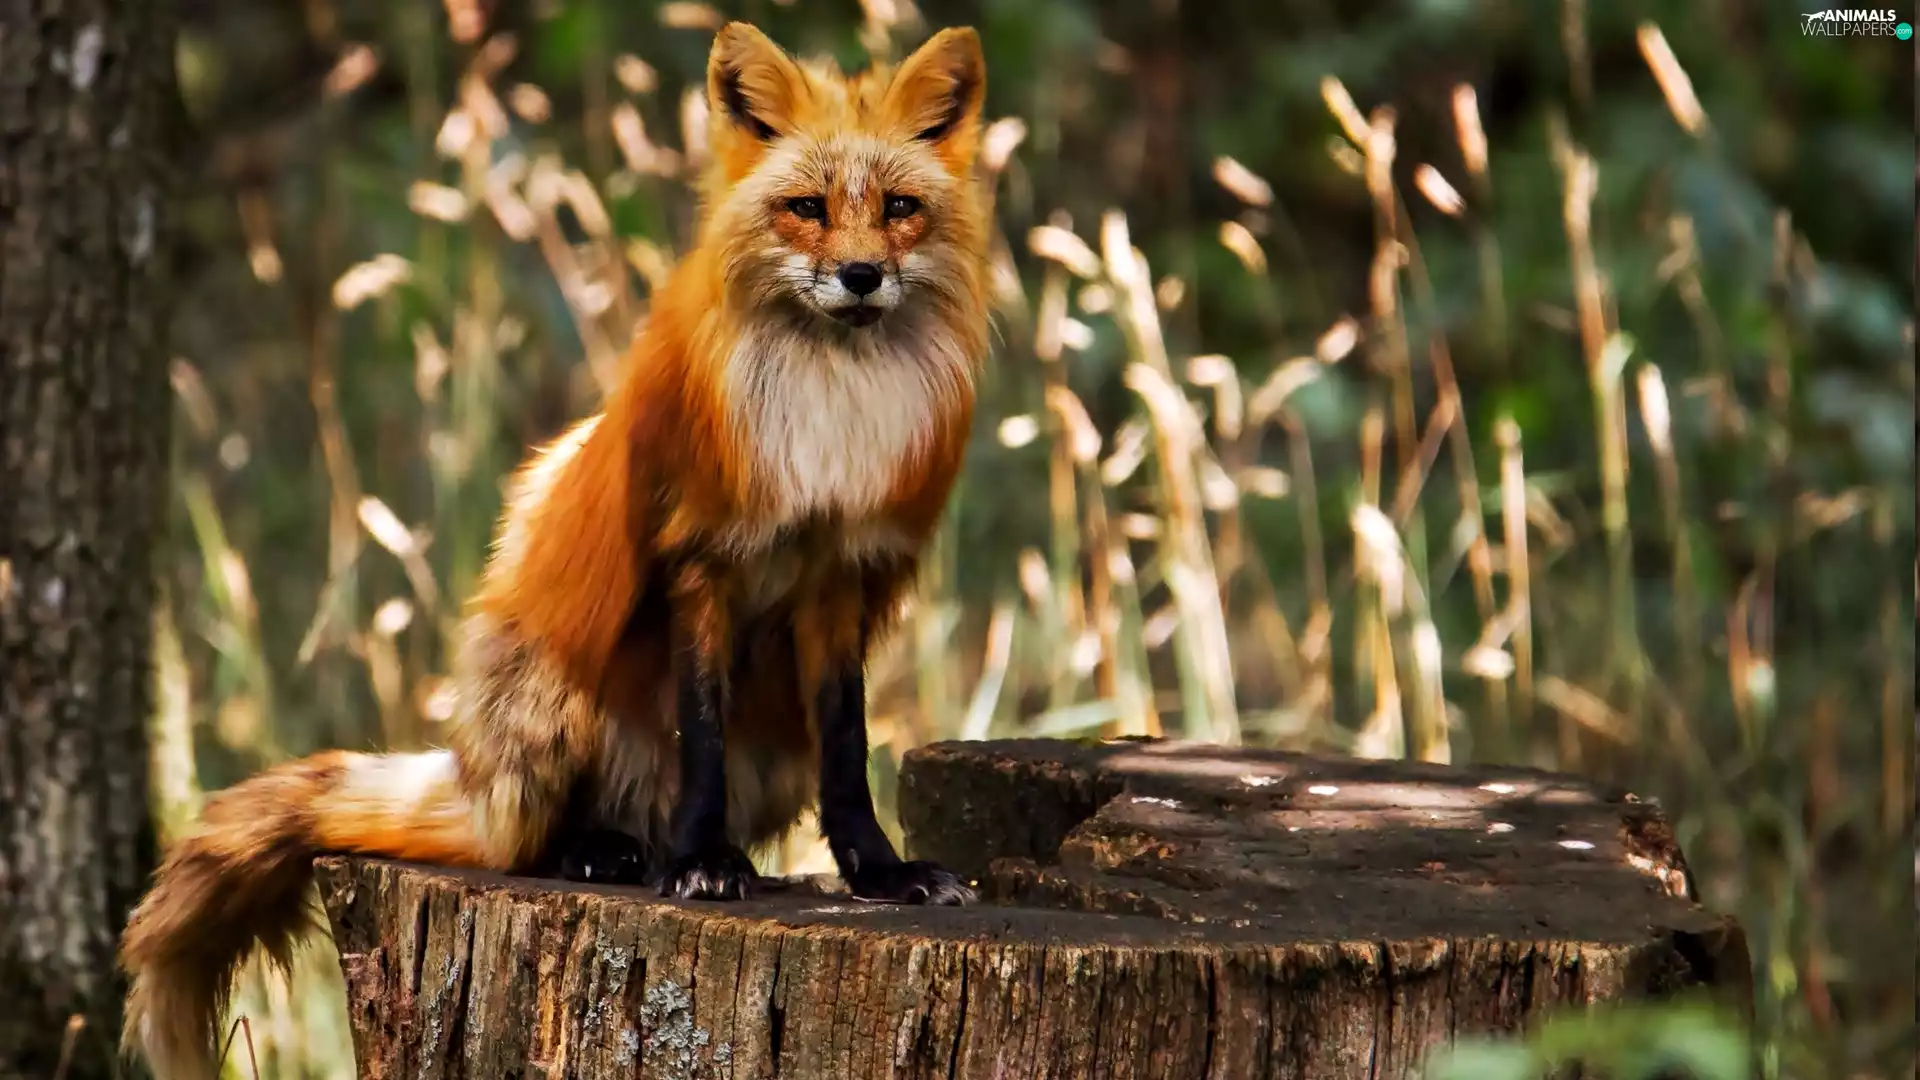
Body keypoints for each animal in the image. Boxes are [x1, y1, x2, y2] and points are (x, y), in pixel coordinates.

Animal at [118, 21, 992, 1080]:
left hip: (764, 751)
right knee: (528, 844)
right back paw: (608, 852)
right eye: (807, 210)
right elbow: (699, 736)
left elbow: (849, 750)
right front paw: (702, 865)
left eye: (900, 209)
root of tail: (470, 774)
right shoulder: (700, 560)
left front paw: (878, 873)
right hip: (548, 702)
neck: (829, 408)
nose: (861, 277)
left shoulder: (837, 578)